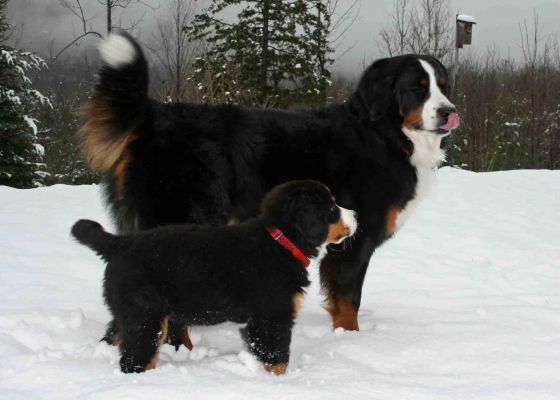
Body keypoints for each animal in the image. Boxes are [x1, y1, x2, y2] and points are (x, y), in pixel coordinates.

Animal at [72, 181, 356, 376]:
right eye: (332, 207)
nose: (356, 214)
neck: (281, 241)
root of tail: (120, 244)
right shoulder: (272, 316)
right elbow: (277, 357)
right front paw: (278, 382)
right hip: (146, 316)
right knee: (135, 357)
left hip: (129, 310)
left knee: (115, 336)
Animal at [80, 32, 460, 342]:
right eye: (417, 87)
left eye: (443, 85)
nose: (449, 112)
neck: (385, 136)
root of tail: (153, 116)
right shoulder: (353, 241)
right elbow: (349, 301)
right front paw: (349, 341)